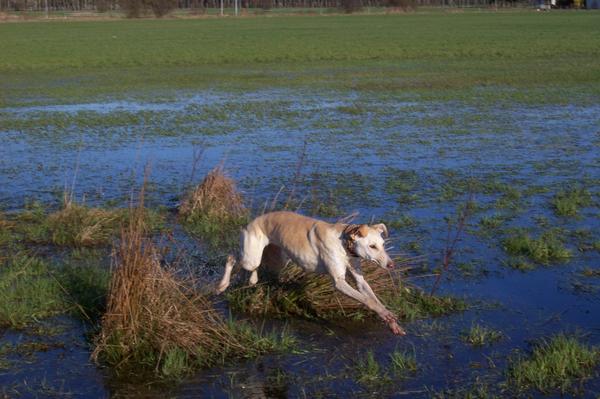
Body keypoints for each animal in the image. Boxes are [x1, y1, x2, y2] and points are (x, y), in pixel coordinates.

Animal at [213, 211, 406, 336]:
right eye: (372, 246)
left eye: (383, 244)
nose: (391, 265)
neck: (344, 242)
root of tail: (252, 222)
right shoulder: (339, 282)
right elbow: (367, 300)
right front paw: (387, 316)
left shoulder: (359, 279)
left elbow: (373, 298)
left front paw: (391, 321)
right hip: (251, 257)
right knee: (231, 258)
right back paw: (221, 286)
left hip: (276, 260)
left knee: (254, 268)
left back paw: (252, 279)